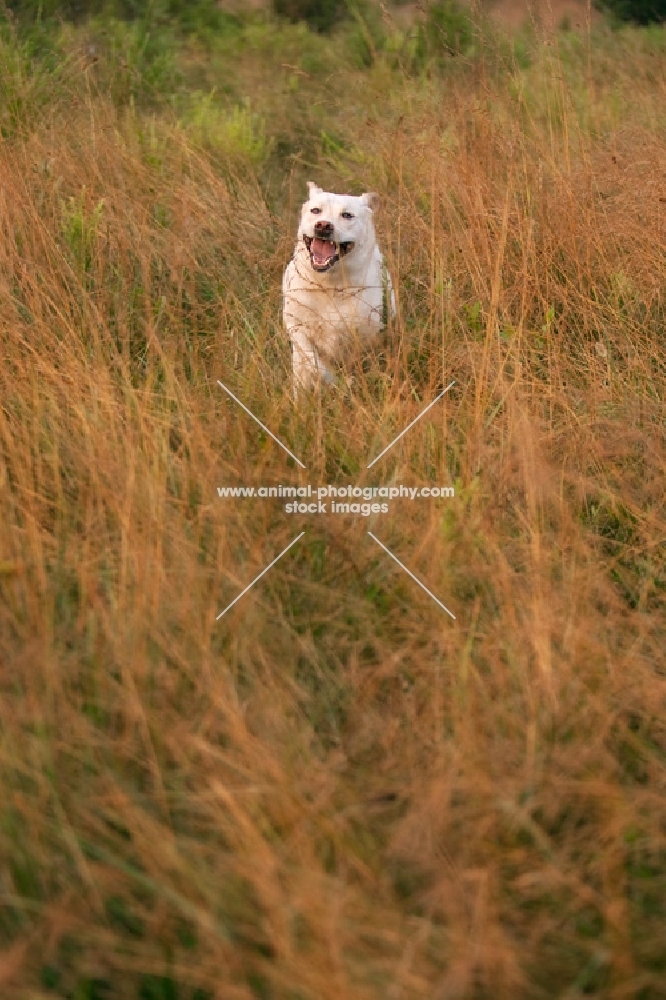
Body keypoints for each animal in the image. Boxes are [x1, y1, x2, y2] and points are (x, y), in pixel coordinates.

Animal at [282, 180, 394, 394]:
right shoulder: (297, 326)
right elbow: (314, 361)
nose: (323, 225)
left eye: (347, 215)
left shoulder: (366, 332)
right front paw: (333, 380)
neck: (331, 285)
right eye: (315, 210)